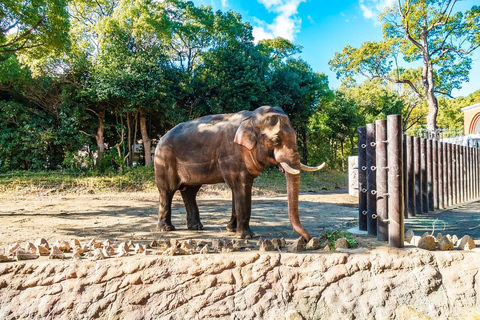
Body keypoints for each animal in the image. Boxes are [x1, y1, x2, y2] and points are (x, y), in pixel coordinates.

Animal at [154, 106, 326, 241]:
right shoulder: (232, 153)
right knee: (167, 190)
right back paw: (167, 228)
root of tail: (161, 138)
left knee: (190, 191)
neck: (252, 117)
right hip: (164, 160)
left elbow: (236, 190)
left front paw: (231, 229)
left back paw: (196, 227)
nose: (309, 240)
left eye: (296, 136)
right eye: (275, 140)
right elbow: (241, 186)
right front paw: (246, 236)